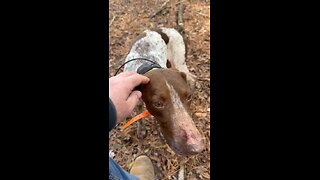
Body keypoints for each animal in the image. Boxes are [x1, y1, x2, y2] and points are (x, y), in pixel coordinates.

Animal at [124, 27, 204, 155]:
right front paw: (141, 129)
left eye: (188, 97)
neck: (147, 65)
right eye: (158, 104)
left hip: (179, 61)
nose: (196, 147)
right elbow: (139, 113)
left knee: (191, 77)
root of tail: (167, 29)